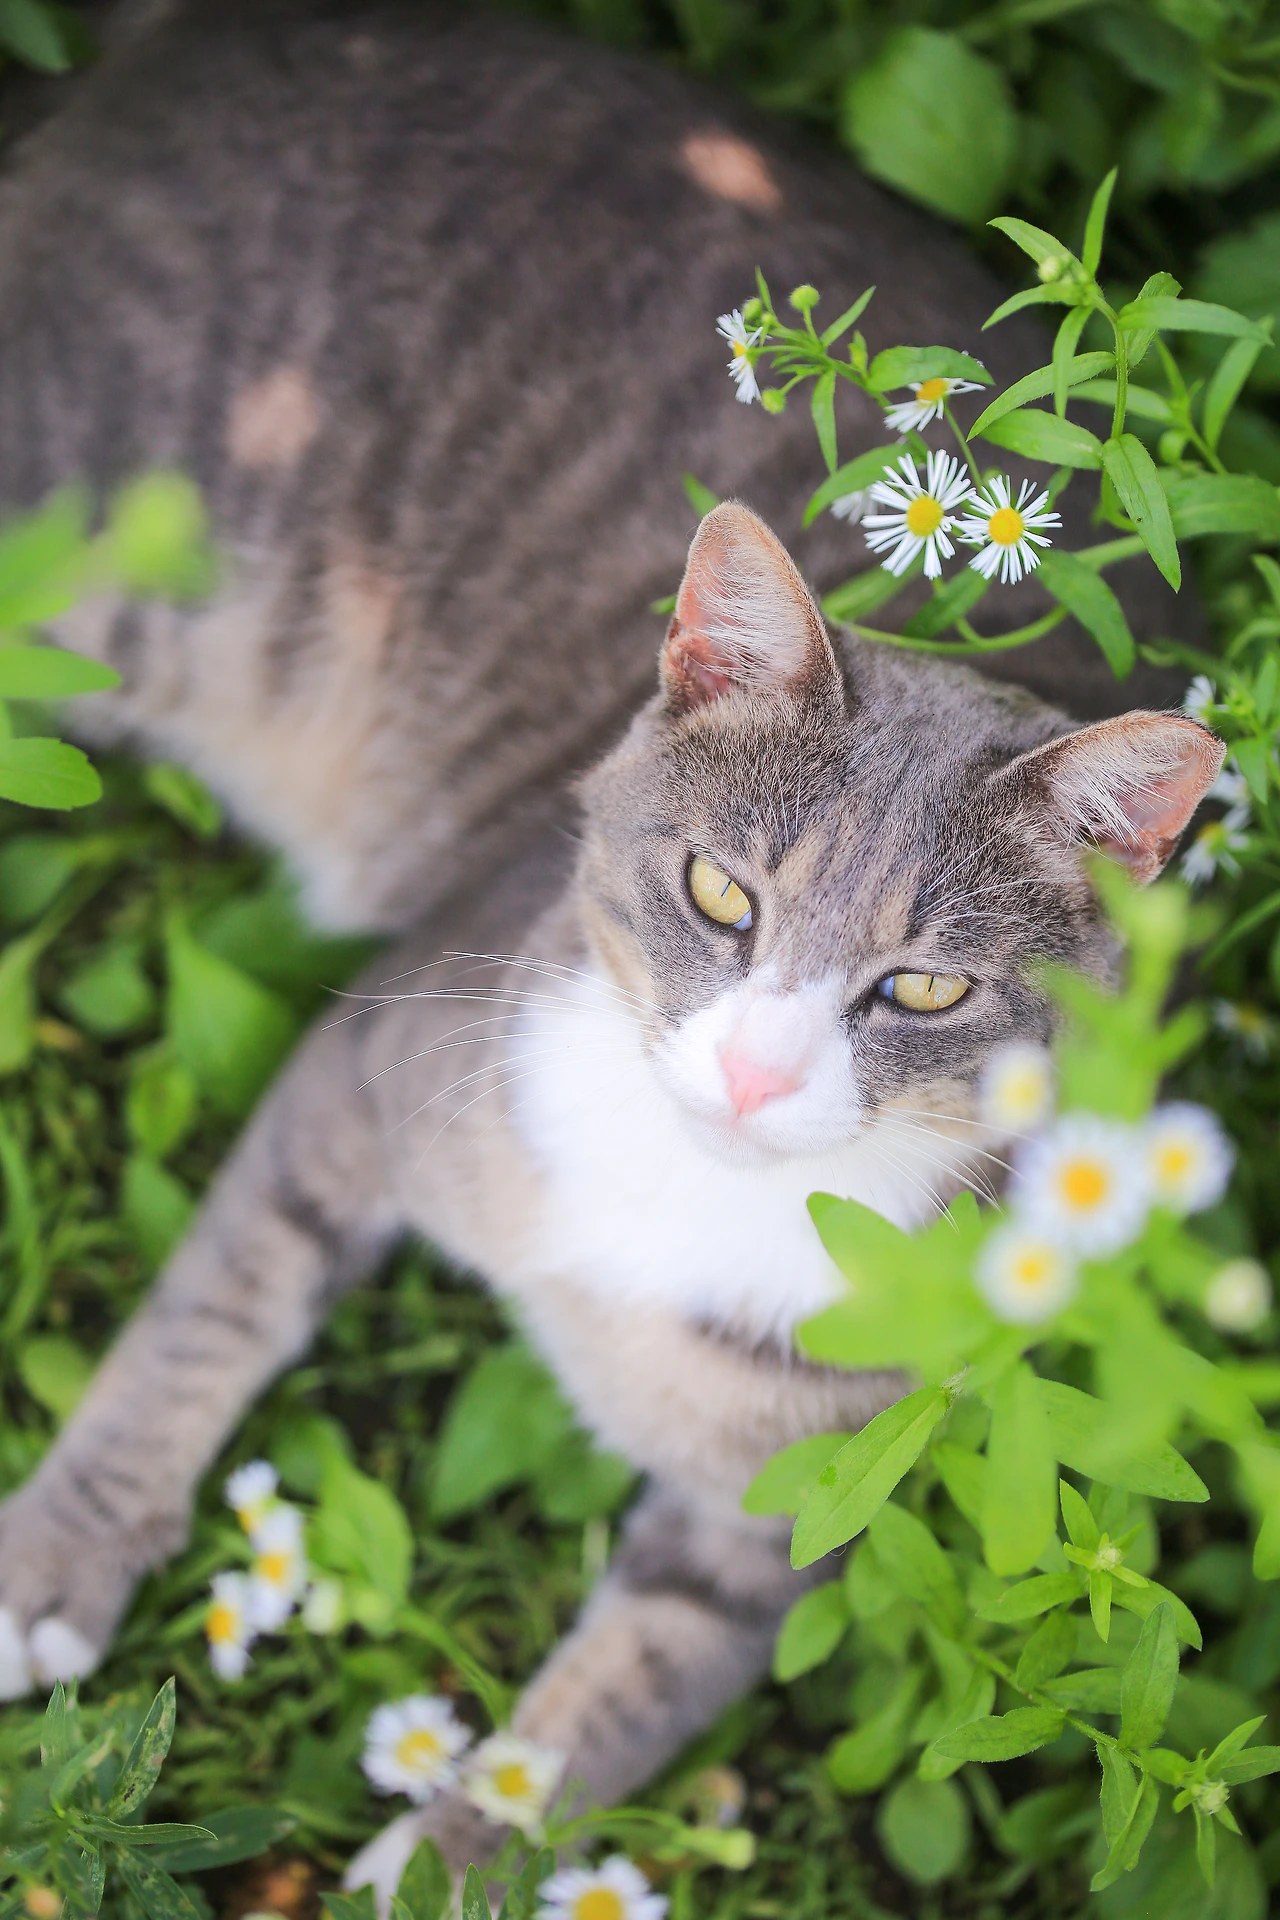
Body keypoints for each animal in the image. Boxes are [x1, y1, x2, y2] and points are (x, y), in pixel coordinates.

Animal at [0, 0, 1220, 1897]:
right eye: (722, 897)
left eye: (925, 986)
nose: (754, 1070)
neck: (673, 1198)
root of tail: (188, 37)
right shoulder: (376, 1055)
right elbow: (199, 1316)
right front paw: (56, 1560)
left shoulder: (796, 1521)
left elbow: (611, 1710)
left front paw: (448, 1863)